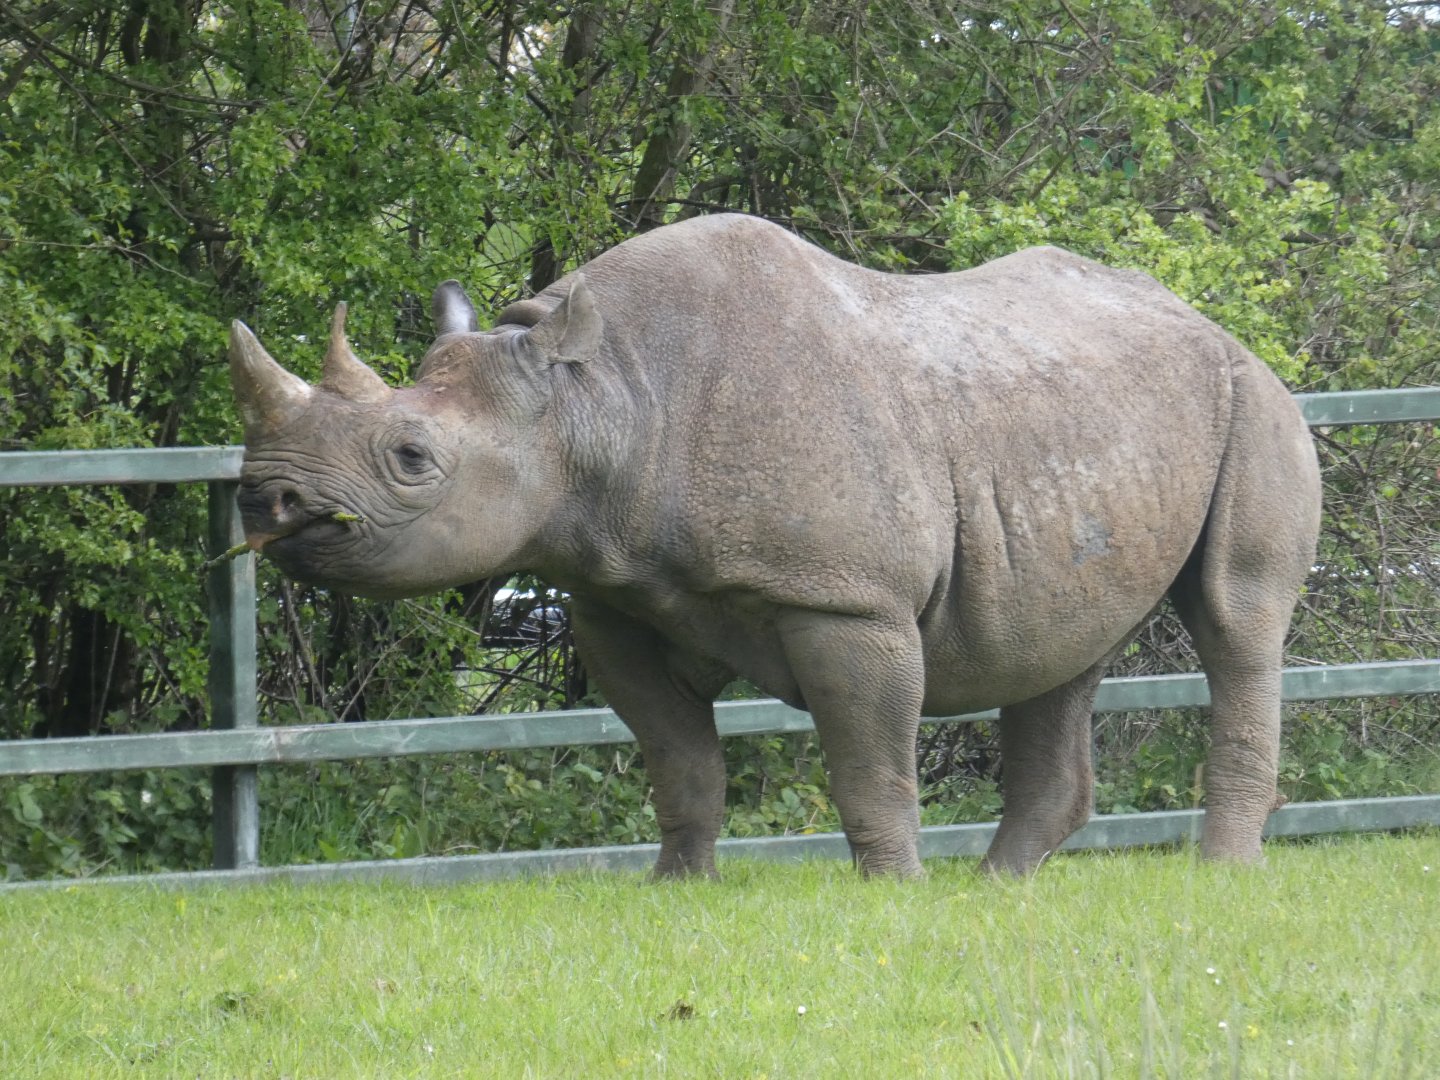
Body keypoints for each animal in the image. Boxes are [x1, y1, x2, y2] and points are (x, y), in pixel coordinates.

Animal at [228, 213, 1321, 878]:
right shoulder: (615, 595)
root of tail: (1208, 319)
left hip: (1255, 400)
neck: (598, 397)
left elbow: (869, 765)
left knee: (1236, 621)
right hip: (1084, 423)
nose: (265, 500)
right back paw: (997, 890)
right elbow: (680, 762)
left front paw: (894, 892)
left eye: (411, 458)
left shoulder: (847, 599)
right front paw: (678, 887)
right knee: (1060, 648)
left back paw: (1217, 874)